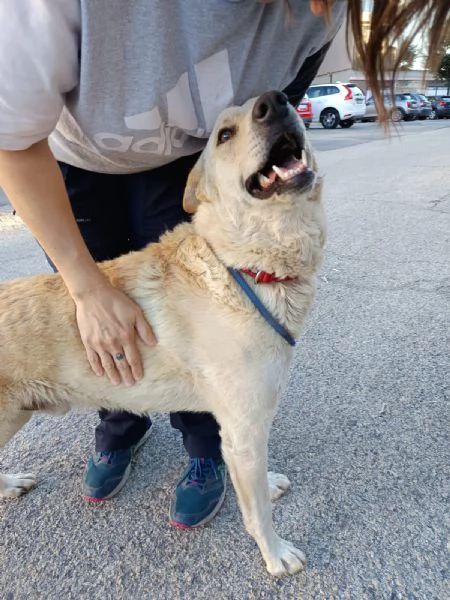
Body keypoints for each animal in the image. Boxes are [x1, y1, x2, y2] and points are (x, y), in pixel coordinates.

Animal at [0, 91, 326, 576]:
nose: (276, 100)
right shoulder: (244, 428)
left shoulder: (242, 426)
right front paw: (275, 554)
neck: (242, 265)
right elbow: (258, 514)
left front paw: (267, 485)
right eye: (224, 134)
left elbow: (252, 482)